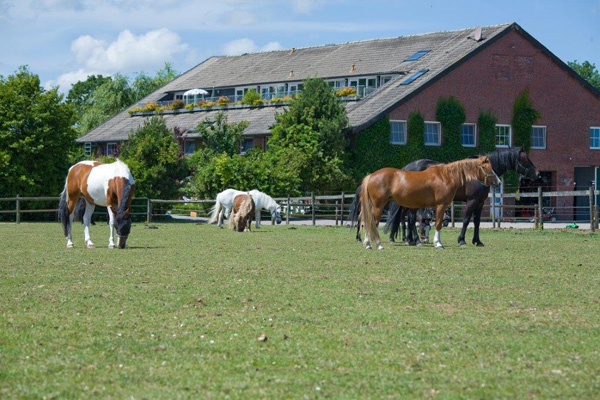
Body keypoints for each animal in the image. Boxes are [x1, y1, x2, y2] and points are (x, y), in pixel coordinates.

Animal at [358, 156, 500, 250]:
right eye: (486, 167)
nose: (498, 182)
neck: (445, 177)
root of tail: (371, 176)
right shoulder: (441, 205)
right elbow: (438, 224)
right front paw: (438, 243)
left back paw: (368, 244)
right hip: (378, 206)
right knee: (372, 222)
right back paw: (377, 244)